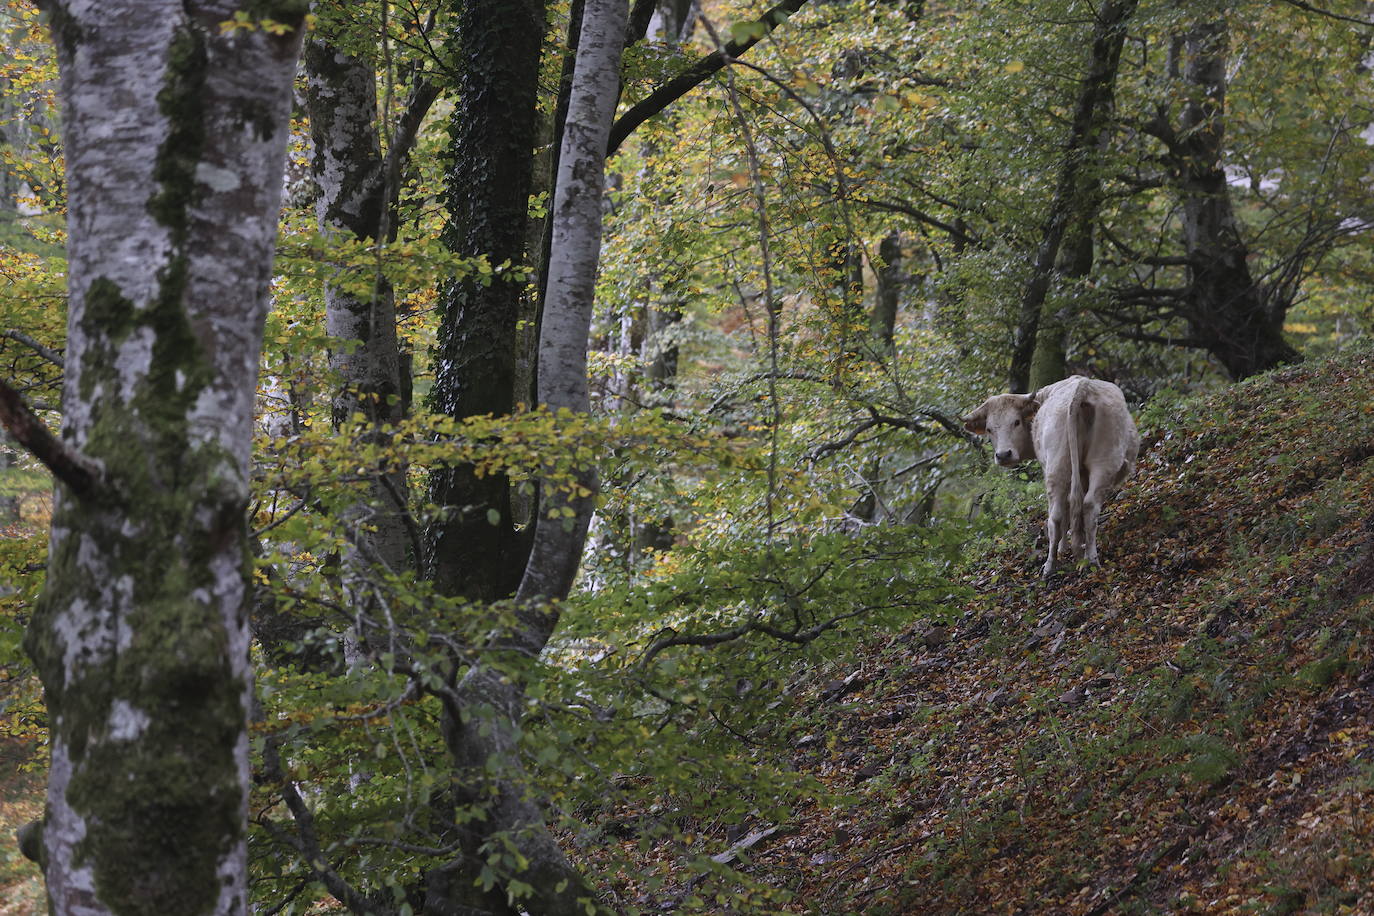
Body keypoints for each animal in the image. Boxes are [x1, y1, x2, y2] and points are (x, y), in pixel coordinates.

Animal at [961, 376, 1143, 576]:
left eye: (1016, 422)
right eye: (989, 429)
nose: (1003, 455)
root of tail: (1084, 387)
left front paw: (1064, 547)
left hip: (1057, 468)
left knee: (1055, 516)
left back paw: (1050, 564)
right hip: (1103, 461)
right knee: (1088, 505)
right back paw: (1091, 559)